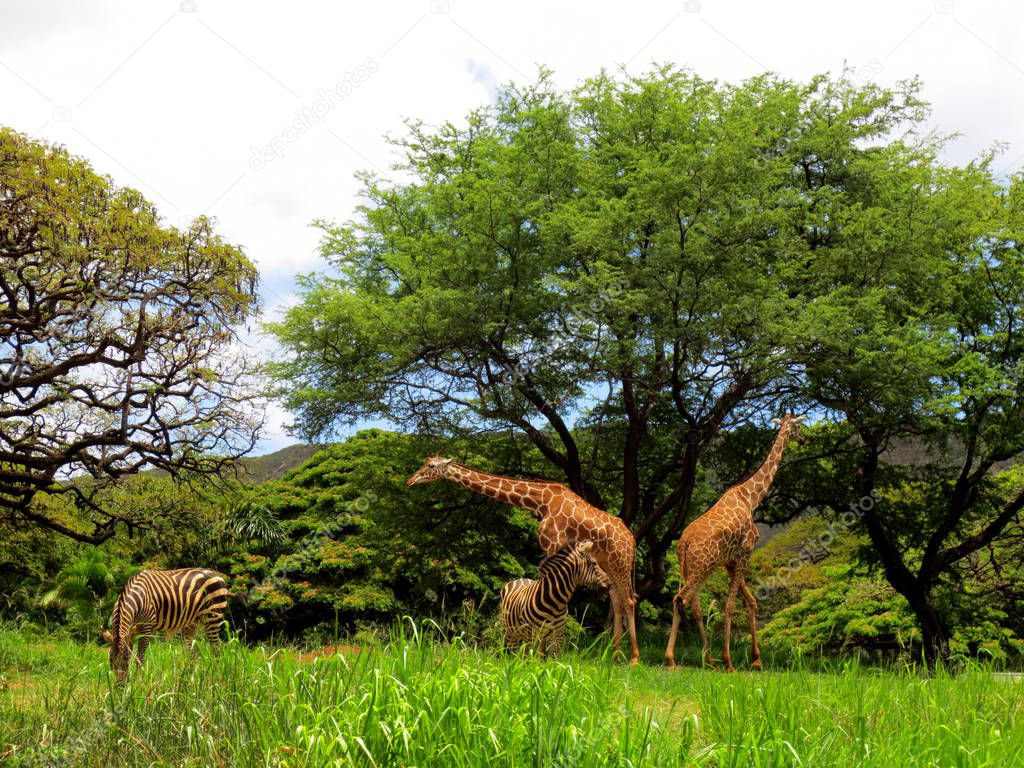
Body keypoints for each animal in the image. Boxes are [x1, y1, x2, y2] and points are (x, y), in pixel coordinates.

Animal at [100, 569, 228, 684]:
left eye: (126, 659)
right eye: (110, 660)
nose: (120, 686)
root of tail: (218, 576)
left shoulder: (147, 626)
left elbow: (140, 657)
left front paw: (138, 684)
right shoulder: (134, 629)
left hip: (213, 618)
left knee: (217, 650)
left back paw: (217, 679)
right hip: (191, 624)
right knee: (192, 654)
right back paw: (187, 681)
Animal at [407, 456, 638, 667]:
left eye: (431, 465)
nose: (411, 480)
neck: (541, 501)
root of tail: (632, 540)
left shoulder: (553, 542)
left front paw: (542, 652)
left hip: (621, 562)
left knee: (629, 600)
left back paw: (633, 660)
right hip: (609, 564)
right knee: (617, 600)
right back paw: (613, 657)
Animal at [663, 415, 806, 671]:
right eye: (798, 426)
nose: (804, 438)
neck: (750, 498)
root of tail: (683, 544)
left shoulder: (730, 563)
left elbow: (751, 601)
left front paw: (756, 659)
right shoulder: (744, 554)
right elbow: (730, 606)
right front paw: (729, 660)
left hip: (690, 568)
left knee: (693, 605)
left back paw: (707, 659)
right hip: (702, 567)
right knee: (681, 599)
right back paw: (673, 659)